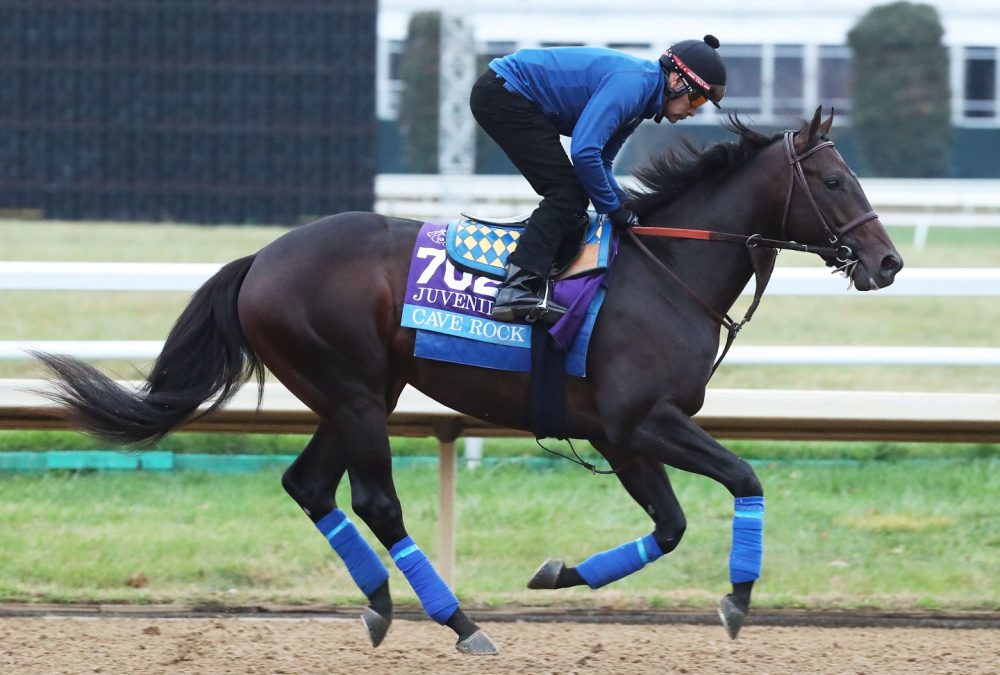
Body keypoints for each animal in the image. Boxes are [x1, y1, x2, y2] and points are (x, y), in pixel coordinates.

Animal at [35, 109, 904, 656]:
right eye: (834, 181)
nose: (889, 260)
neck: (667, 267)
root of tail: (261, 258)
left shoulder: (619, 434)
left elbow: (669, 525)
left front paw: (560, 572)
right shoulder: (641, 420)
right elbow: (744, 476)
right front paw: (738, 598)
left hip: (357, 394)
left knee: (309, 485)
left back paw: (382, 605)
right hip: (356, 393)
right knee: (375, 500)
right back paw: (458, 621)